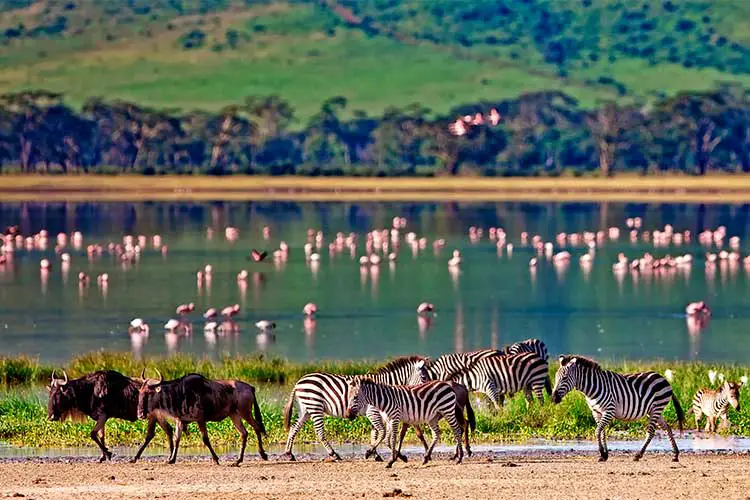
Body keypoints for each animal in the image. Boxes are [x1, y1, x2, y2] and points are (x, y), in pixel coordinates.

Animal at [284, 356, 428, 460]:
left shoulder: (378, 413)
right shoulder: (373, 411)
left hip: (305, 409)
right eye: (424, 377)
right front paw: (386, 454)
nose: (425, 392)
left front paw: (375, 454)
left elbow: (375, 433)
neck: (386, 387)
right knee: (319, 432)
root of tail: (299, 381)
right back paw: (334, 454)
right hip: (315, 407)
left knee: (294, 427)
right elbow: (382, 432)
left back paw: (289, 453)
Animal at [424, 352, 552, 410]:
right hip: (527, 384)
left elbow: (496, 404)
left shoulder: (490, 387)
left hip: (537, 380)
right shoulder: (483, 391)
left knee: (541, 400)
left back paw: (540, 412)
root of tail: (539, 357)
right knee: (530, 401)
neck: (473, 377)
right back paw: (529, 413)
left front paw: (501, 417)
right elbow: (488, 405)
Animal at [552, 354, 688, 462]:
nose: (553, 398)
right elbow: (602, 432)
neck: (592, 389)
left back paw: (638, 455)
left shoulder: (609, 410)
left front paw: (602, 453)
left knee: (651, 432)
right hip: (654, 411)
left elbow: (597, 431)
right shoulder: (596, 412)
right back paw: (675, 455)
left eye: (564, 378)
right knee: (667, 428)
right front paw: (605, 455)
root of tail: (663, 378)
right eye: (555, 377)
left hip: (656, 408)